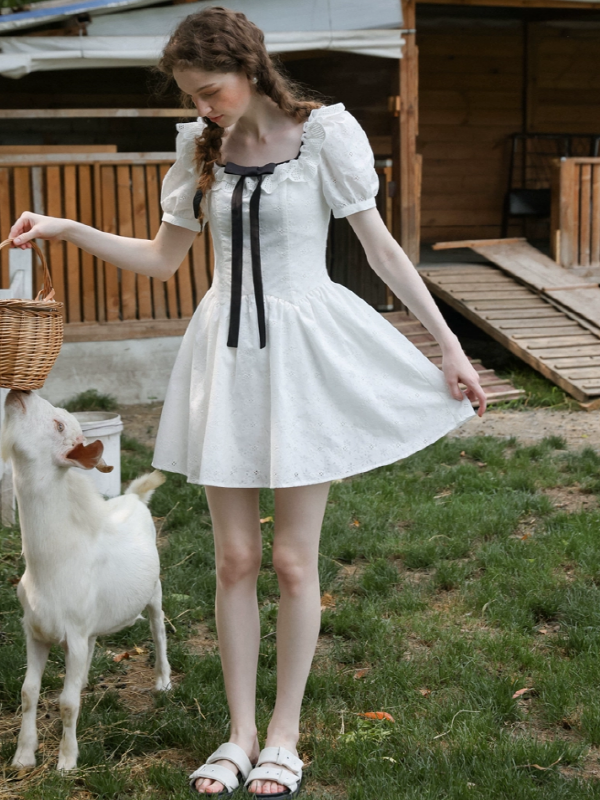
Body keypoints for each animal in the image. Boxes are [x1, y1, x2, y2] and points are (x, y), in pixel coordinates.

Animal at [1, 390, 171, 772]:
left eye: (59, 425)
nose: (20, 392)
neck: (53, 563)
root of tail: (134, 497)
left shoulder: (74, 634)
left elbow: (66, 703)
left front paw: (66, 762)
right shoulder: (35, 630)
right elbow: (28, 691)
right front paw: (23, 756)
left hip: (154, 591)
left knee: (158, 629)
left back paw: (163, 680)